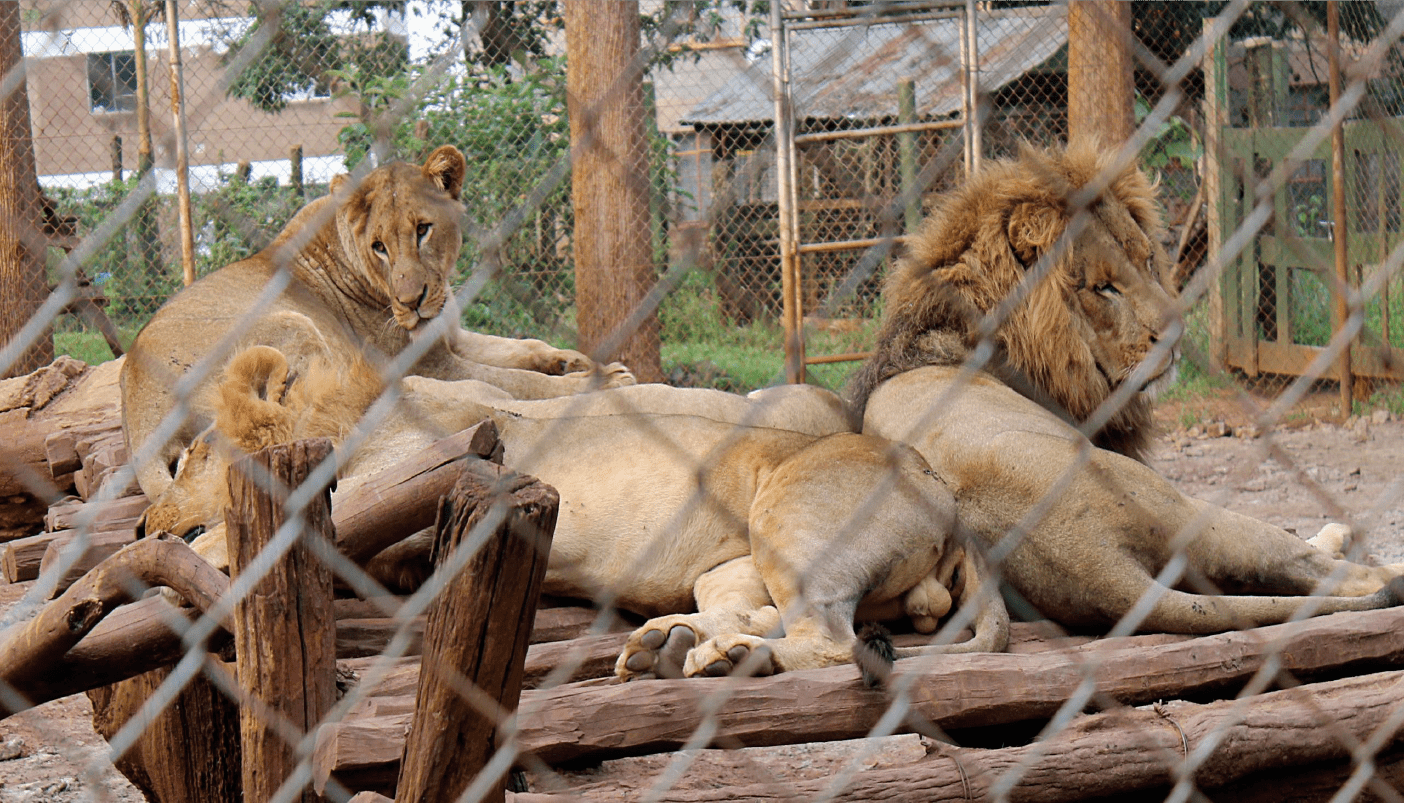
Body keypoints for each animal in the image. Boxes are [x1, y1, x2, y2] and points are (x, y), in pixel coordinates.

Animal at [120, 145, 633, 504]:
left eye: (423, 229)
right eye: (379, 246)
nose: (413, 301)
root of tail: (137, 417)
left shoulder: (450, 336)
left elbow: (522, 347)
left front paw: (571, 361)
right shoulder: (432, 362)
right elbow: (520, 381)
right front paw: (601, 380)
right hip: (290, 322)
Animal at [146, 342, 1009, 680]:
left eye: (188, 456)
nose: (139, 526)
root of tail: (943, 493)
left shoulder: (410, 489)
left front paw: (194, 552)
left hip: (788, 514)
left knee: (828, 639)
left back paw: (717, 656)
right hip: (736, 564)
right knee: (769, 615)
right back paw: (670, 642)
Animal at [850, 141, 1404, 634]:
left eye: (1147, 261)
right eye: (1104, 288)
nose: (1176, 335)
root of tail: (1097, 569)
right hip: (1184, 508)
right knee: (1317, 567)